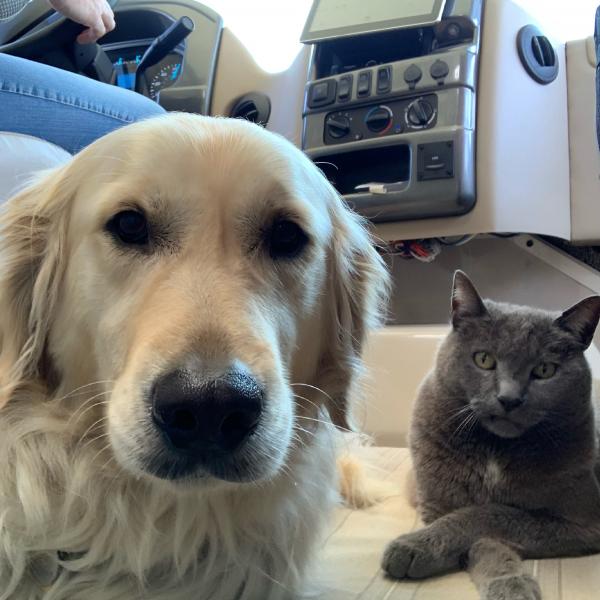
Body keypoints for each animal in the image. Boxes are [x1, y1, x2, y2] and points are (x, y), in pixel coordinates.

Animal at [382, 272, 600, 600]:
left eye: (544, 370)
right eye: (483, 359)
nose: (509, 399)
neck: (495, 449)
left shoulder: (584, 521)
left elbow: (488, 515)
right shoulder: (436, 504)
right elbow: (478, 525)